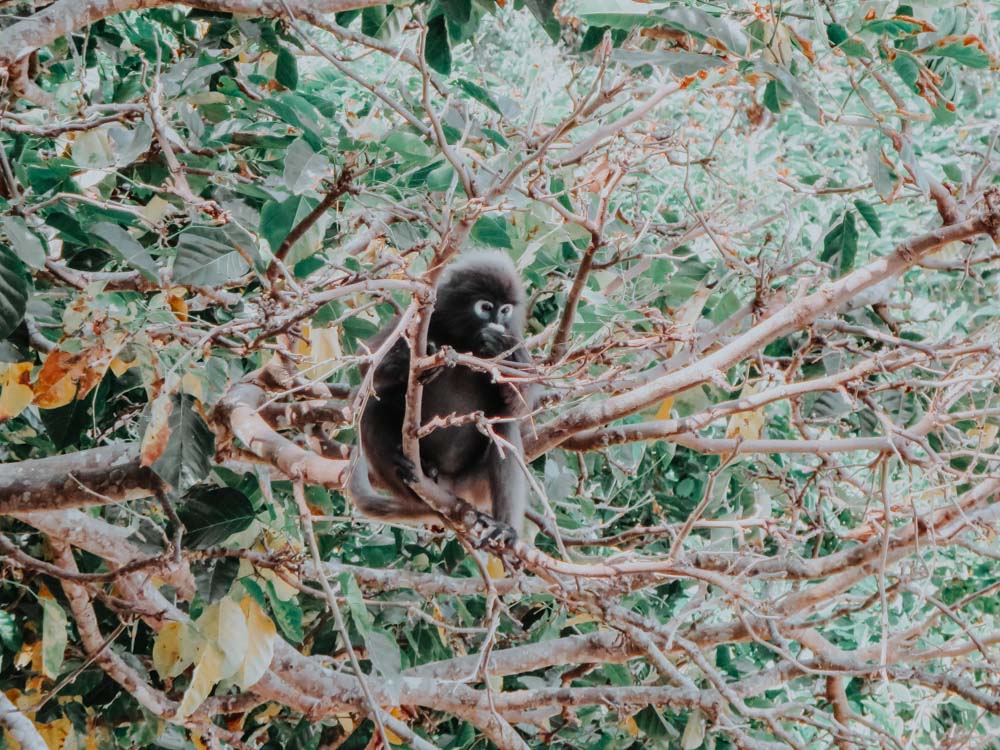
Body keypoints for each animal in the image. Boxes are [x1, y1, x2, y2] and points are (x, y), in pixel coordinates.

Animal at [350, 253, 540, 540]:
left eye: (505, 310)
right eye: (486, 307)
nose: (496, 321)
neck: (464, 340)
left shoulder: (514, 335)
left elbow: (519, 406)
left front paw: (499, 346)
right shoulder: (424, 316)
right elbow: (368, 363)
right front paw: (414, 363)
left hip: (473, 482)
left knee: (502, 424)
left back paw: (504, 527)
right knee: (373, 406)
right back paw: (412, 471)